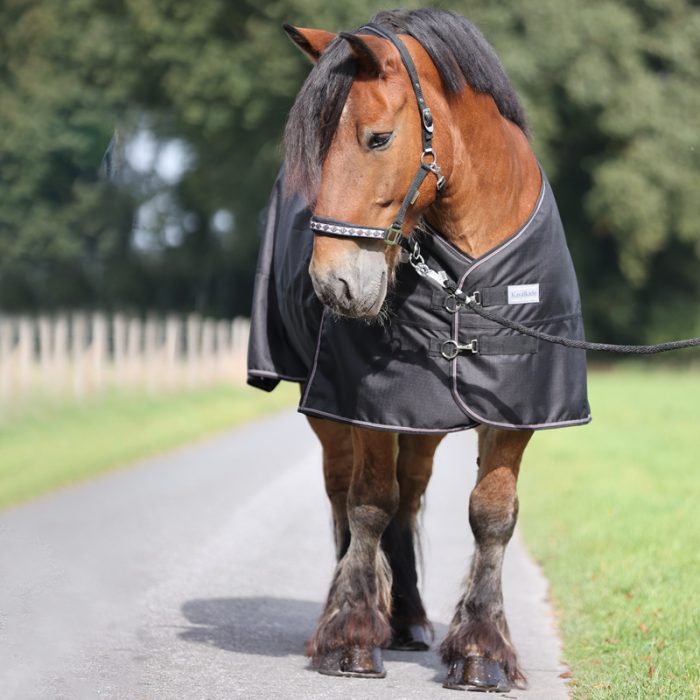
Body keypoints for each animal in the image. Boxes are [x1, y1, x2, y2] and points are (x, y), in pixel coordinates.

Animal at [248, 7, 590, 692]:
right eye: (314, 151)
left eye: (378, 139)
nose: (334, 285)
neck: (466, 273)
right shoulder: (371, 406)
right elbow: (368, 506)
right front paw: (353, 635)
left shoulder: (517, 408)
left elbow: (491, 514)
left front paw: (482, 651)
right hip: (330, 411)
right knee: (344, 493)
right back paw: (348, 616)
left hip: (424, 423)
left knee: (408, 496)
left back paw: (406, 618)